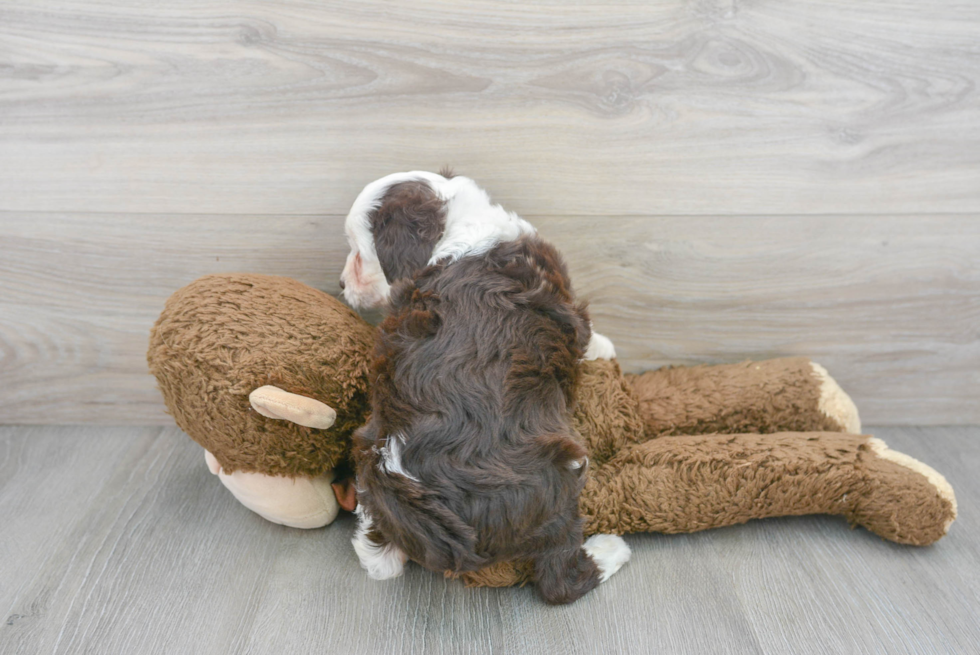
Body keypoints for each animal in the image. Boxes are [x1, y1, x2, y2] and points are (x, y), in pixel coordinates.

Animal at [340, 173, 624, 604]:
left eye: (358, 253)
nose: (340, 284)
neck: (459, 228)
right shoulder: (567, 305)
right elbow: (588, 337)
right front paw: (605, 349)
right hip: (556, 480)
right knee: (559, 578)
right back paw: (610, 551)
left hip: (367, 455)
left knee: (378, 558)